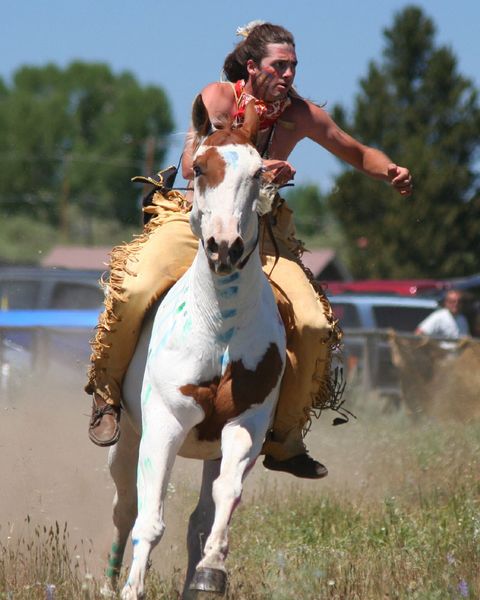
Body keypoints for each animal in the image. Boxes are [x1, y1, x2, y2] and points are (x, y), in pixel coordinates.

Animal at [105, 98, 284, 600]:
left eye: (260, 172)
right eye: (200, 167)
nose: (225, 246)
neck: (219, 325)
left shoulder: (246, 425)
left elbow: (224, 497)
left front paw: (211, 571)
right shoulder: (163, 425)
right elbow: (149, 520)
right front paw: (132, 589)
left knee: (199, 513)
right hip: (127, 438)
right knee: (124, 509)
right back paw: (108, 581)